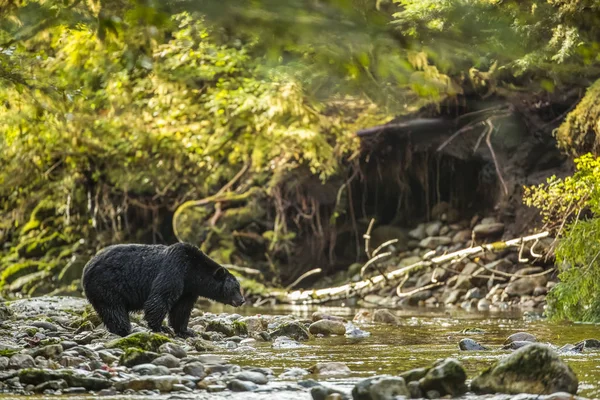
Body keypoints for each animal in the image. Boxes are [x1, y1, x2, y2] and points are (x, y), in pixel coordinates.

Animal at [81, 242, 245, 336]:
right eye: (235, 288)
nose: (242, 300)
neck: (192, 272)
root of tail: (87, 267)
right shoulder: (174, 269)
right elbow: (160, 298)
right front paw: (160, 327)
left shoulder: (188, 289)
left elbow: (182, 309)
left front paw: (186, 331)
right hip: (107, 284)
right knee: (113, 308)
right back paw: (124, 329)